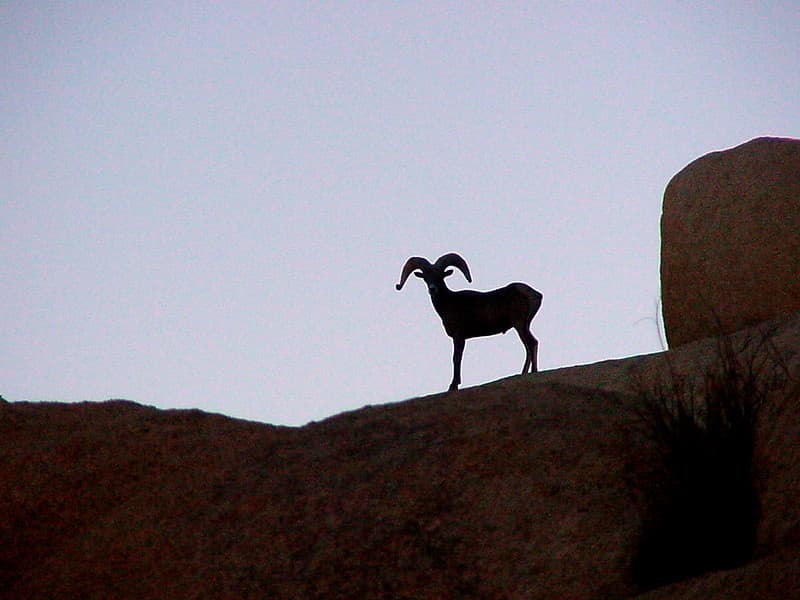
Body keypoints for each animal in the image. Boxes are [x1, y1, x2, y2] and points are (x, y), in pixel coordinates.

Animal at [396, 252, 542, 391]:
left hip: (519, 325)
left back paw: (532, 372)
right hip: (523, 326)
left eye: (441, 276)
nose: (432, 289)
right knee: (530, 346)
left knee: (531, 343)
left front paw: (453, 386)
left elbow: (456, 358)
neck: (449, 303)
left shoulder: (459, 337)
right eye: (426, 277)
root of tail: (535, 294)